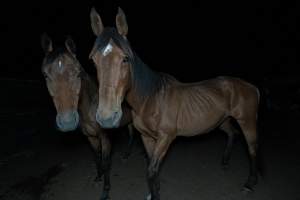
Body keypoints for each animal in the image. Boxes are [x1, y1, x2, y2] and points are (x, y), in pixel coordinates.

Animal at [40, 33, 134, 199]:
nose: (67, 122)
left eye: (78, 72)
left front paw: (106, 190)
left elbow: (106, 161)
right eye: (45, 74)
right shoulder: (90, 137)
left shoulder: (105, 137)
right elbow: (96, 157)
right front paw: (98, 177)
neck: (90, 107)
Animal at [89, 7, 260, 199]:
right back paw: (225, 162)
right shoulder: (147, 137)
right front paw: (154, 192)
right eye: (94, 61)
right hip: (222, 121)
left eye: (125, 58)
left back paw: (249, 183)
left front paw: (155, 194)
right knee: (232, 134)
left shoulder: (166, 137)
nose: (106, 118)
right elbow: (151, 167)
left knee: (252, 148)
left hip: (247, 121)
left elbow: (151, 171)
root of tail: (251, 86)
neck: (150, 100)